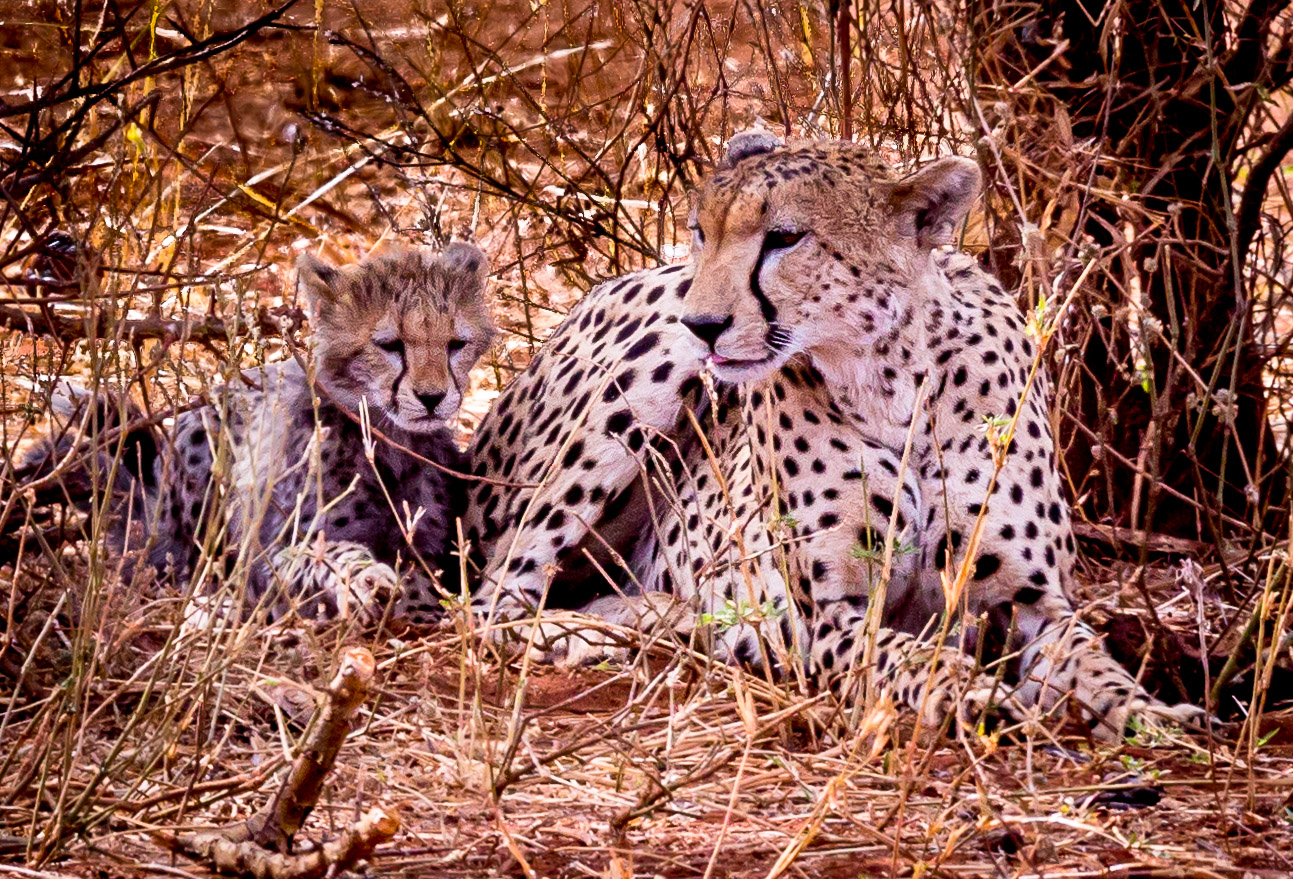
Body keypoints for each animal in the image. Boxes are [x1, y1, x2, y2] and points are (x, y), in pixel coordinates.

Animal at [465, 133, 1210, 739]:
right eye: (700, 231)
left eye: (784, 238)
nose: (701, 324)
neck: (892, 377)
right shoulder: (826, 615)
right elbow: (908, 654)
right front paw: (969, 692)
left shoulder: (1034, 602)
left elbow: (1092, 660)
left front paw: (1150, 714)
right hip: (643, 374)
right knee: (492, 598)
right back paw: (599, 636)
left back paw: (665, 618)